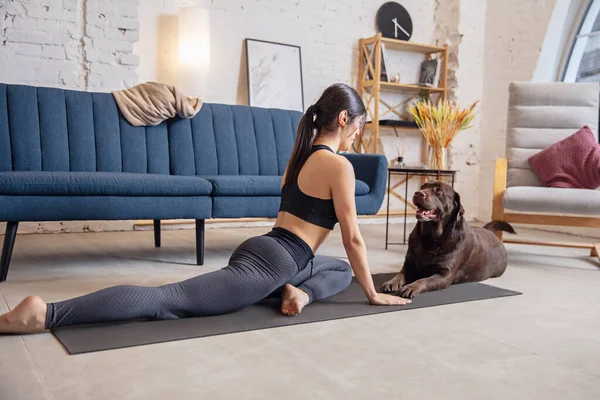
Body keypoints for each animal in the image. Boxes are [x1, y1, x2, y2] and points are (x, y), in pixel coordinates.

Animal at [382, 180, 512, 296]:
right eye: (422, 186)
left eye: (438, 190)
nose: (418, 193)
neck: (430, 237)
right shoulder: (409, 264)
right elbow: (400, 274)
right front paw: (391, 282)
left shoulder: (444, 275)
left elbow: (424, 280)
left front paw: (411, 287)